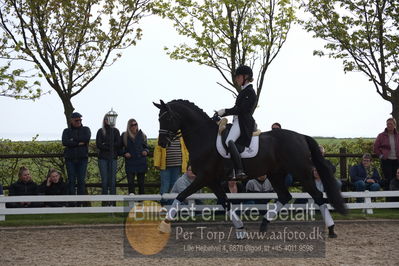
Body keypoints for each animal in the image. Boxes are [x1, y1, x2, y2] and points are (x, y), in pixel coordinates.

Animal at [154, 99, 346, 235]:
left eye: (168, 118)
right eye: (158, 119)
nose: (162, 143)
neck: (204, 138)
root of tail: (301, 136)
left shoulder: (203, 178)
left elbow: (180, 196)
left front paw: (163, 225)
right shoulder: (212, 181)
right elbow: (225, 202)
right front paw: (240, 229)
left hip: (302, 172)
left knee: (318, 196)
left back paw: (331, 229)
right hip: (276, 174)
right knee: (285, 196)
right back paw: (264, 225)